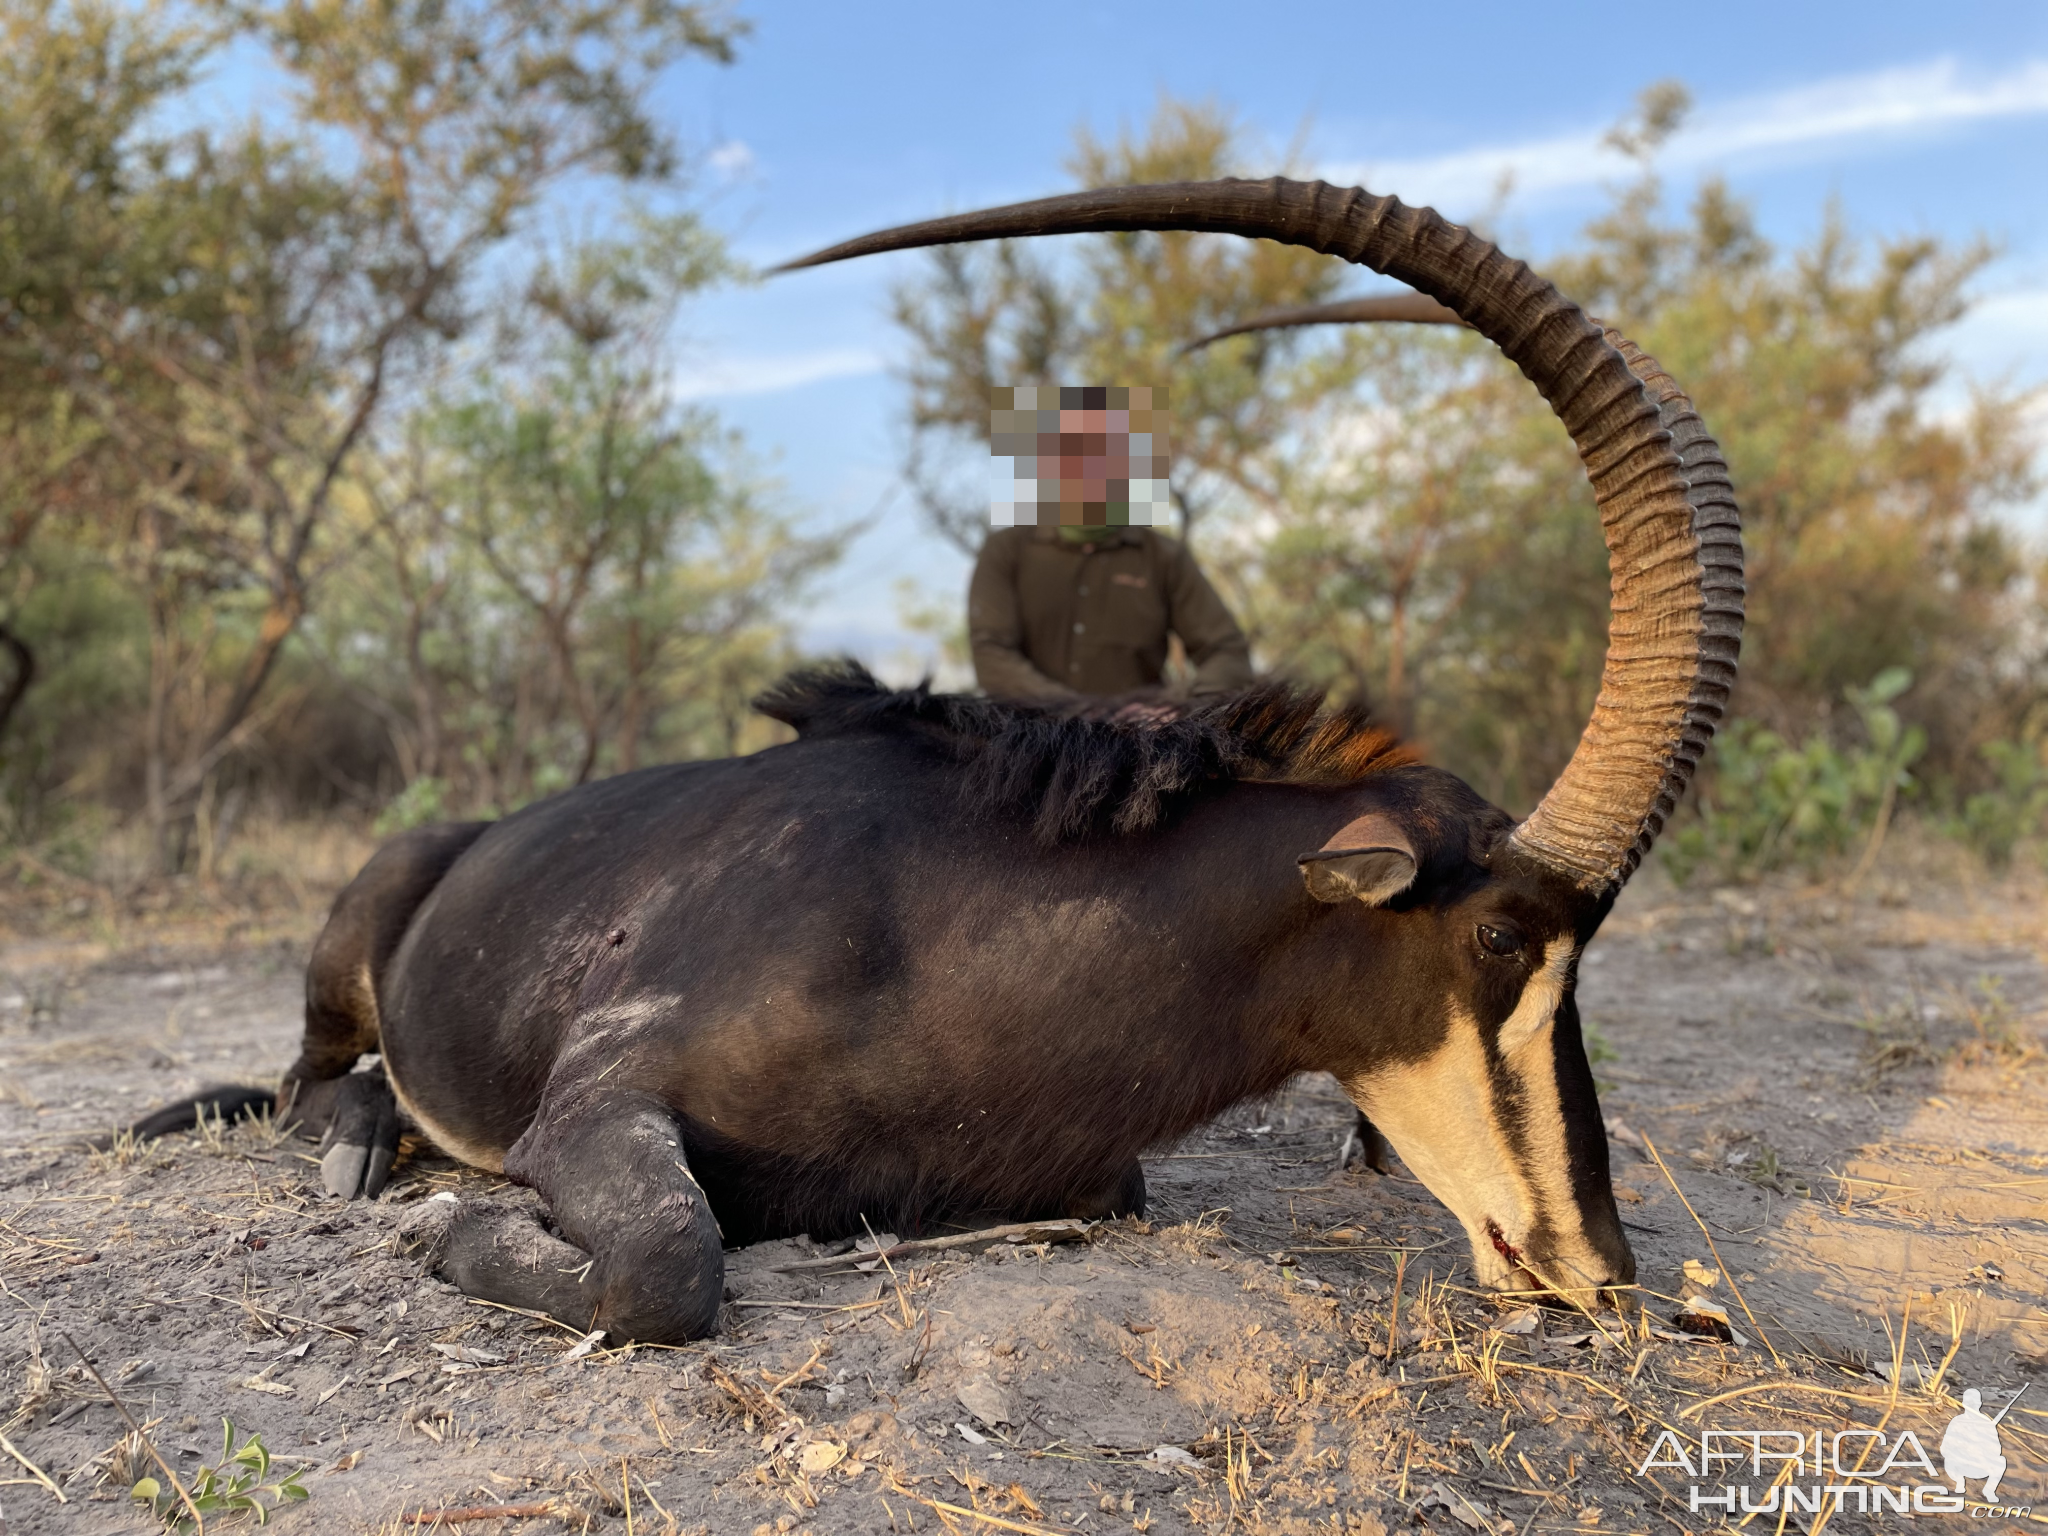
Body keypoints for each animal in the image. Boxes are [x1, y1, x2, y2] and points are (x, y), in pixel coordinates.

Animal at [123, 177, 1744, 1343]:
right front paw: (454, 1225)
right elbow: (668, 1267)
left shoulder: (1085, 1170)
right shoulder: (596, 1101)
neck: (928, 929)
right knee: (312, 1071)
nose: (1600, 1272)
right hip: (355, 938)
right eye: (1499, 938)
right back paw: (358, 1143)